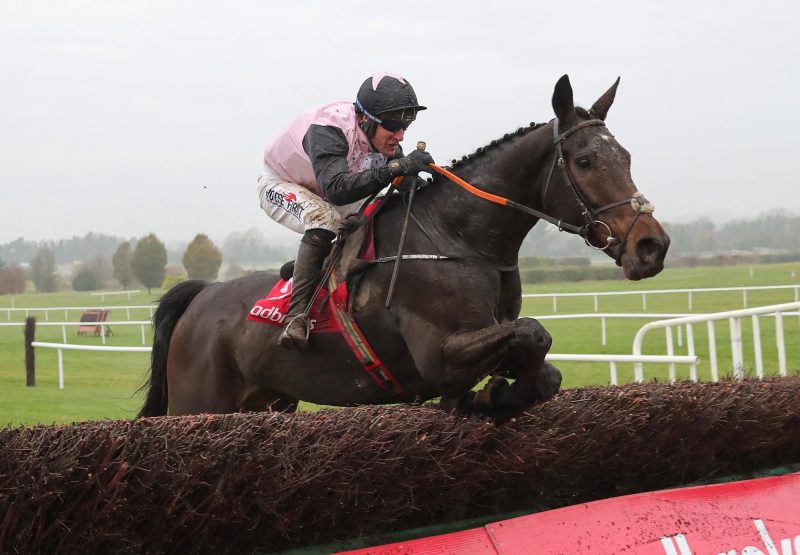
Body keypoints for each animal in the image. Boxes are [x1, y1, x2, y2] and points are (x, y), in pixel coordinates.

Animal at [138, 74, 668, 422]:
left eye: (625, 156)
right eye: (585, 161)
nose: (652, 245)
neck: (459, 240)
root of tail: (201, 297)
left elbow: (544, 366)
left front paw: (491, 396)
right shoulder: (439, 355)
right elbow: (534, 332)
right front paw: (493, 397)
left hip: (269, 401)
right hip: (198, 402)